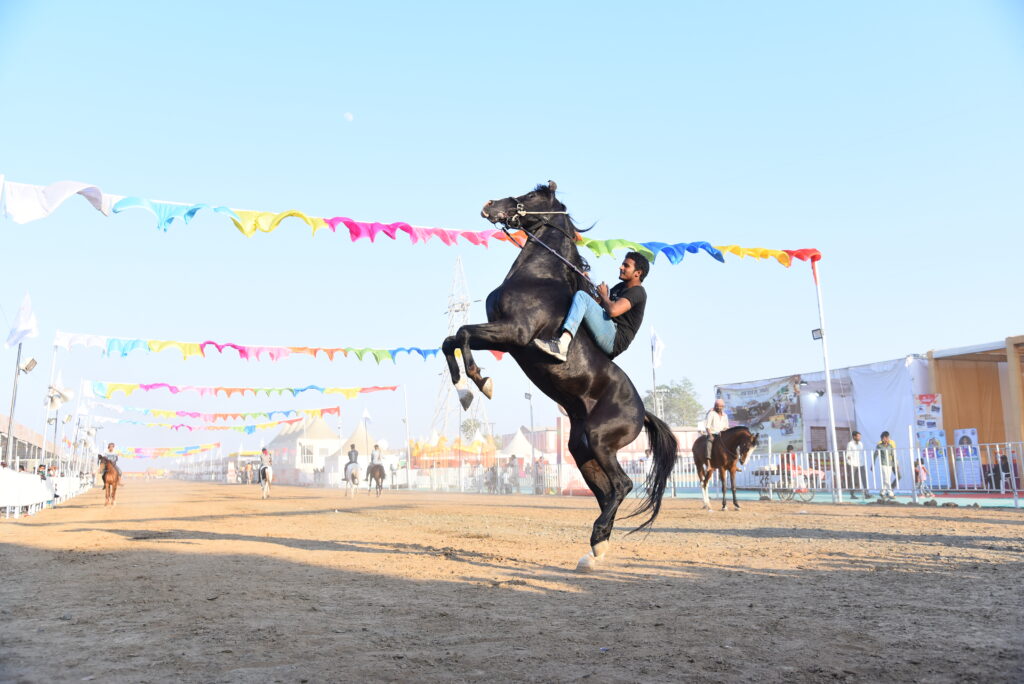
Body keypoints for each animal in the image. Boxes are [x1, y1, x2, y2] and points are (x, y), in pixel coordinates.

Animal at [442, 181, 675, 573]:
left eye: (530, 196)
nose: (490, 205)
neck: (538, 277)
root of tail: (643, 412)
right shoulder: (503, 336)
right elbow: (450, 340)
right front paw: (464, 391)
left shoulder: (515, 333)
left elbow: (461, 333)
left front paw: (480, 383)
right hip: (581, 450)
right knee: (607, 493)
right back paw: (595, 550)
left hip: (599, 440)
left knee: (623, 485)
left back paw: (597, 543)